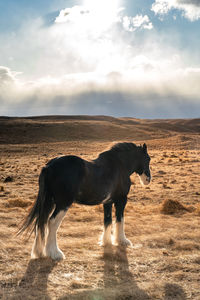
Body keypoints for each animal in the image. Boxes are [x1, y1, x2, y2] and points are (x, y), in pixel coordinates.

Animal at [18, 142, 151, 260]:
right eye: (148, 159)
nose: (148, 179)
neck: (120, 165)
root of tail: (48, 167)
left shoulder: (108, 202)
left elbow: (107, 221)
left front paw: (106, 242)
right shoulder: (121, 200)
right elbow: (120, 219)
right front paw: (122, 241)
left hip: (49, 202)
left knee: (42, 221)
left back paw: (39, 252)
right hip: (62, 204)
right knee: (52, 222)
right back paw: (55, 253)